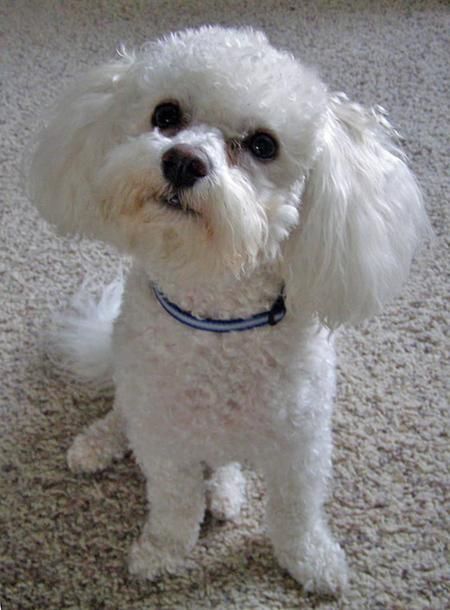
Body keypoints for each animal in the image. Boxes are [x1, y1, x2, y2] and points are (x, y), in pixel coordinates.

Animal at [27, 26, 428, 592]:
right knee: (122, 410)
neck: (215, 318)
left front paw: (314, 563)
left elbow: (296, 515)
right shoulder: (165, 441)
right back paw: (97, 443)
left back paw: (225, 491)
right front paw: (160, 553)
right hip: (137, 394)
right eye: (166, 114)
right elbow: (174, 506)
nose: (183, 161)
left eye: (263, 145)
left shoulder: (300, 448)